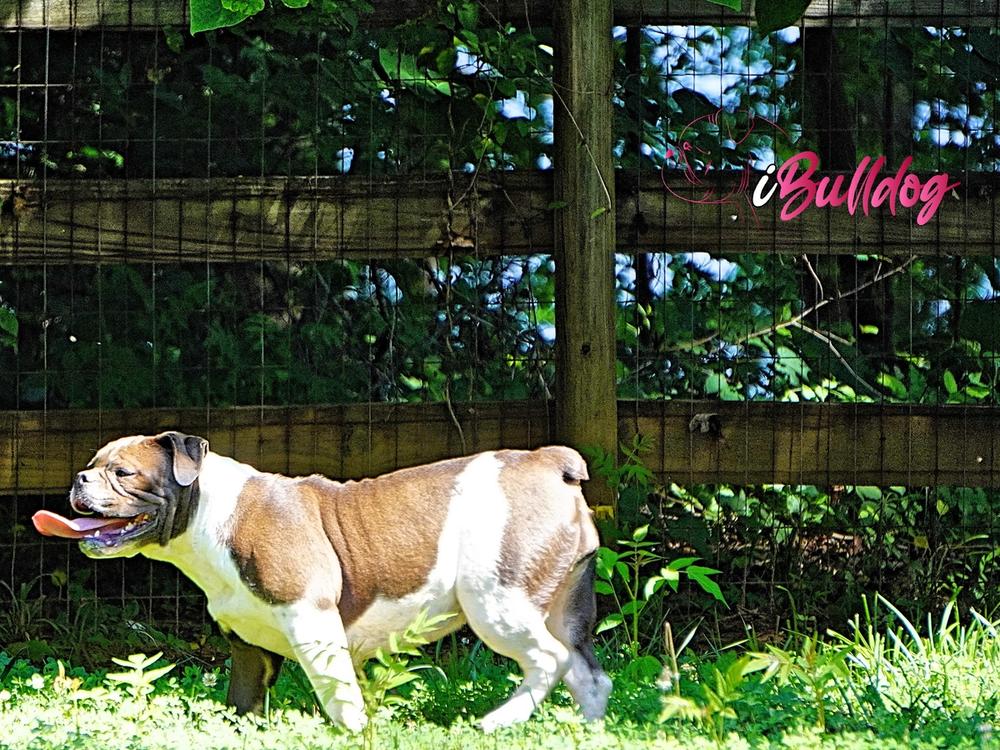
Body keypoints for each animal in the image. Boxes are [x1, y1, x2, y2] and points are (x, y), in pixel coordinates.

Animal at [32, 431, 612, 731]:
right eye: (92, 465)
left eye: (123, 473)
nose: (79, 479)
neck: (208, 513)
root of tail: (548, 462)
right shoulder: (246, 646)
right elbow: (243, 700)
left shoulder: (311, 623)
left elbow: (338, 693)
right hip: (565, 607)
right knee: (587, 673)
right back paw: (591, 732)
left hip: (497, 603)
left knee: (548, 661)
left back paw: (497, 722)